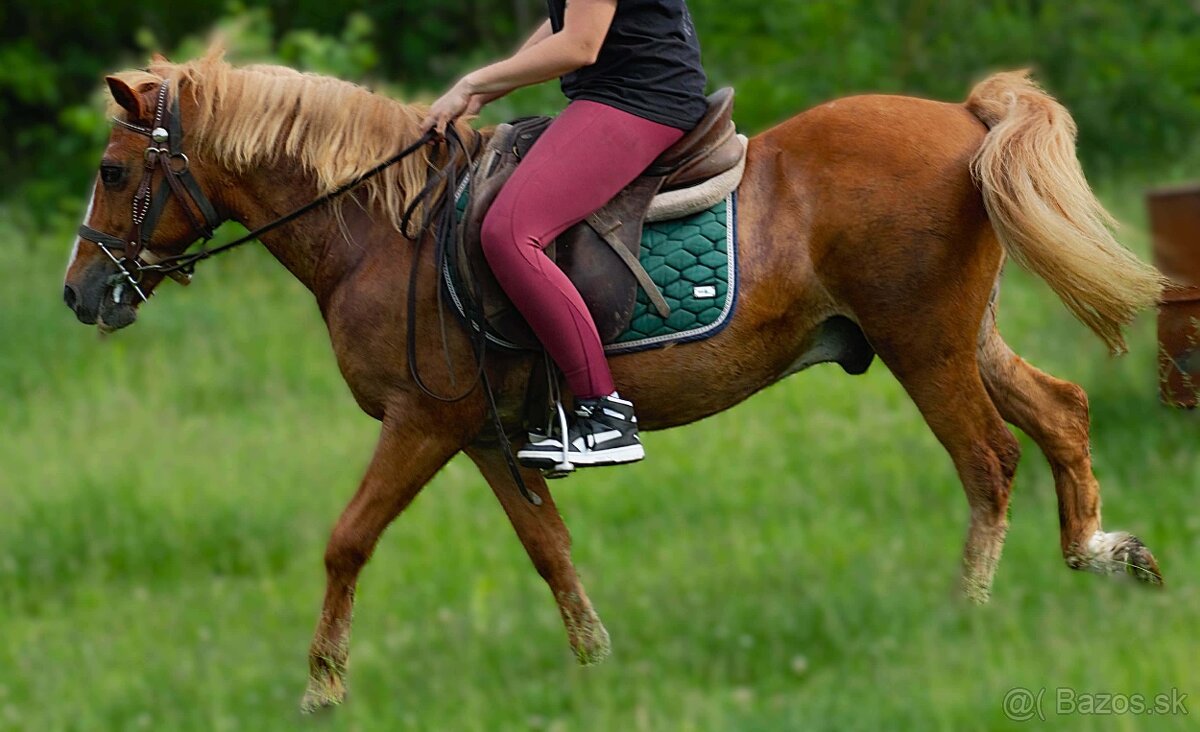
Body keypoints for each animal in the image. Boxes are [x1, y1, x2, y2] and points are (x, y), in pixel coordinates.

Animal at [63, 47, 1166, 712]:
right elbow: (549, 550)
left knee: (988, 461)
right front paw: (597, 662)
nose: (81, 295)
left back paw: (964, 615)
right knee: (1062, 415)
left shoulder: (423, 421)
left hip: (922, 343)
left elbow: (347, 542)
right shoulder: (487, 435)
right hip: (959, 338)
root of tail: (968, 117)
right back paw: (1104, 555)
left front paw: (322, 691)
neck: (384, 231)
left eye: (115, 174)